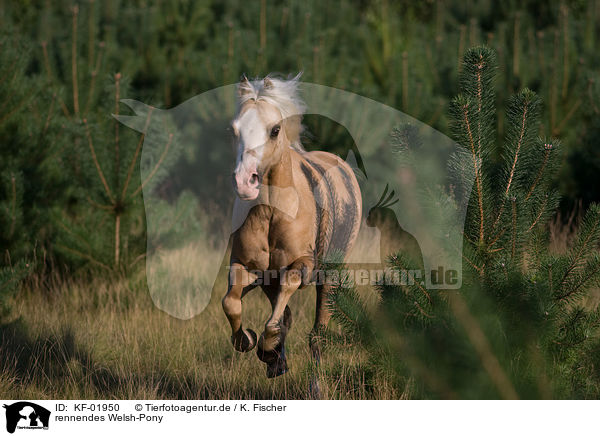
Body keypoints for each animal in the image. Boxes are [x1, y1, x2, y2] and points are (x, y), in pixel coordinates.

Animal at [220, 73, 360, 376]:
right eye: (234, 130)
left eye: (274, 130)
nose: (244, 182)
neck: (273, 213)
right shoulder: (248, 267)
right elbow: (231, 303)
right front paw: (251, 342)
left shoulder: (302, 265)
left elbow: (276, 318)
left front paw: (267, 348)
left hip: (330, 275)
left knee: (317, 332)